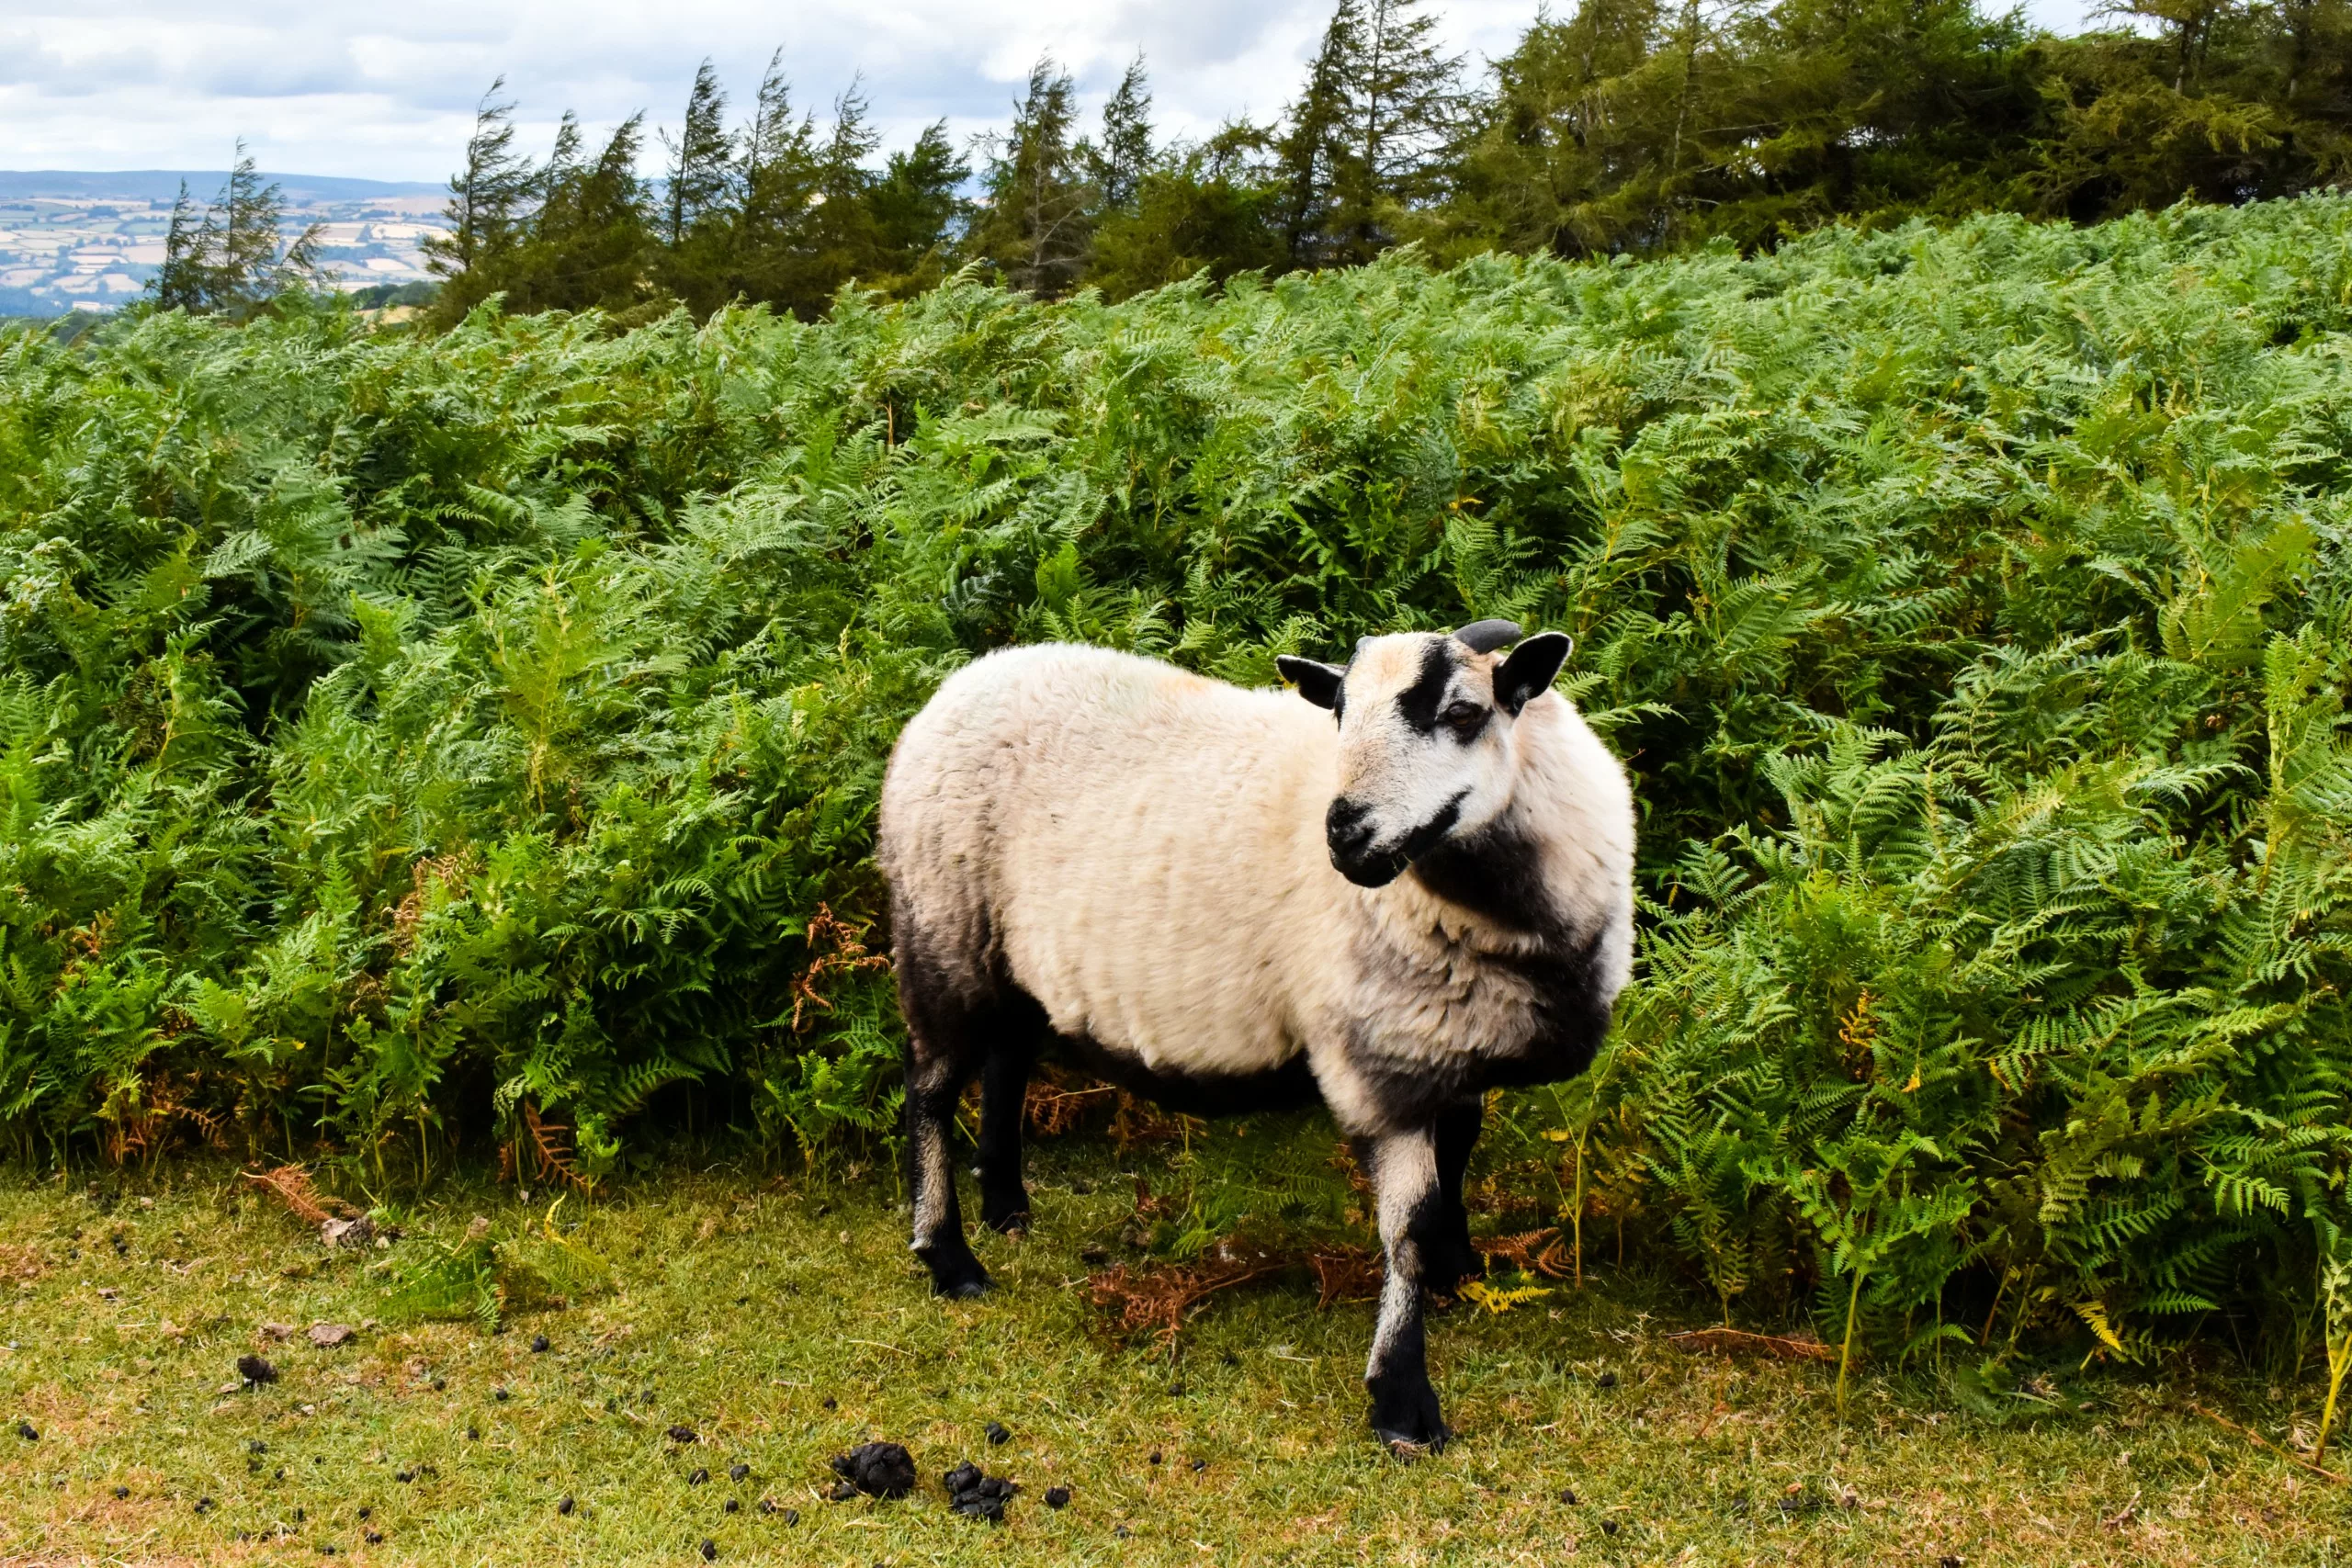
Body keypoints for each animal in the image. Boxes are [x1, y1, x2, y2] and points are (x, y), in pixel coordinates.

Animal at [876, 619, 1636, 1453]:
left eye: (1464, 713)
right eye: (1339, 711)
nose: (1345, 833)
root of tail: (967, 678)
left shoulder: (1447, 1043)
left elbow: (1458, 1156)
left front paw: (1456, 1267)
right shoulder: (1382, 1056)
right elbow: (1406, 1227)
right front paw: (1402, 1399)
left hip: (1009, 956)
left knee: (1007, 1062)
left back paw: (1007, 1203)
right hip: (941, 927)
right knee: (930, 1089)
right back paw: (949, 1255)